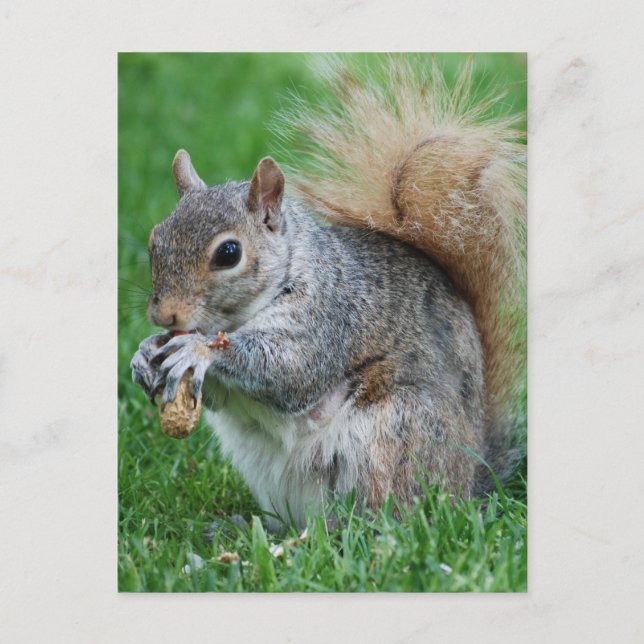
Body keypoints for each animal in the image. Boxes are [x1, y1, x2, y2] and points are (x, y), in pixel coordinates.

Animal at [130, 56, 526, 531]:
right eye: (155, 238)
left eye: (229, 253)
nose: (165, 316)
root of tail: (470, 484)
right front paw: (144, 353)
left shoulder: (330, 314)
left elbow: (290, 370)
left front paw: (198, 349)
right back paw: (252, 528)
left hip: (392, 436)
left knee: (379, 520)